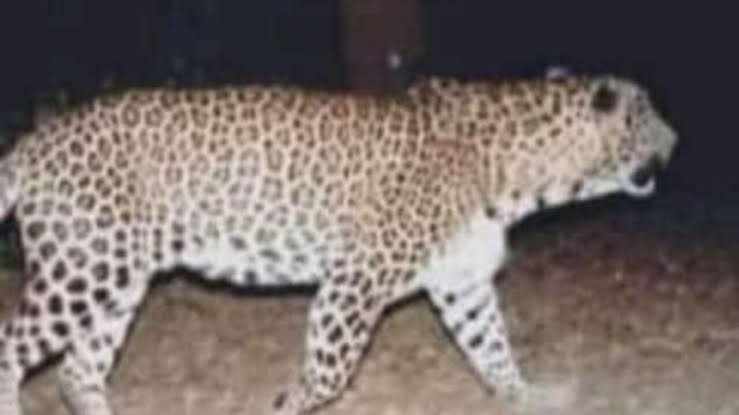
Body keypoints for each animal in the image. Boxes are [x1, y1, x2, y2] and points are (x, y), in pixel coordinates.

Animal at [0, 70, 677, 414]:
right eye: (649, 117)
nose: (675, 141)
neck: (518, 174)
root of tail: (31, 144)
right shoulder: (353, 283)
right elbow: (329, 372)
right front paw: (285, 403)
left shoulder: (461, 281)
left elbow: (493, 348)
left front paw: (527, 394)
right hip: (83, 270)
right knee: (15, 347)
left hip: (114, 280)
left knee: (77, 373)